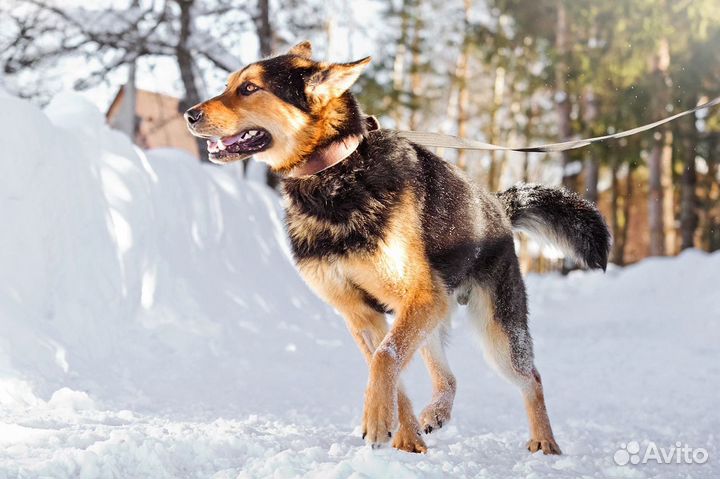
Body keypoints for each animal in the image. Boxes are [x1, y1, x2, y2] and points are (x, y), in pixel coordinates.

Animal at [184, 41, 608, 454]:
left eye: (249, 88)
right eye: (228, 85)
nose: (189, 115)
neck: (334, 176)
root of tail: (499, 208)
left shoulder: (414, 300)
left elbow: (385, 360)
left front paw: (376, 421)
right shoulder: (362, 315)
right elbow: (389, 375)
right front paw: (403, 436)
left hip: (492, 331)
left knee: (531, 377)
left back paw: (546, 441)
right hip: (432, 318)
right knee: (448, 378)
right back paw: (435, 414)